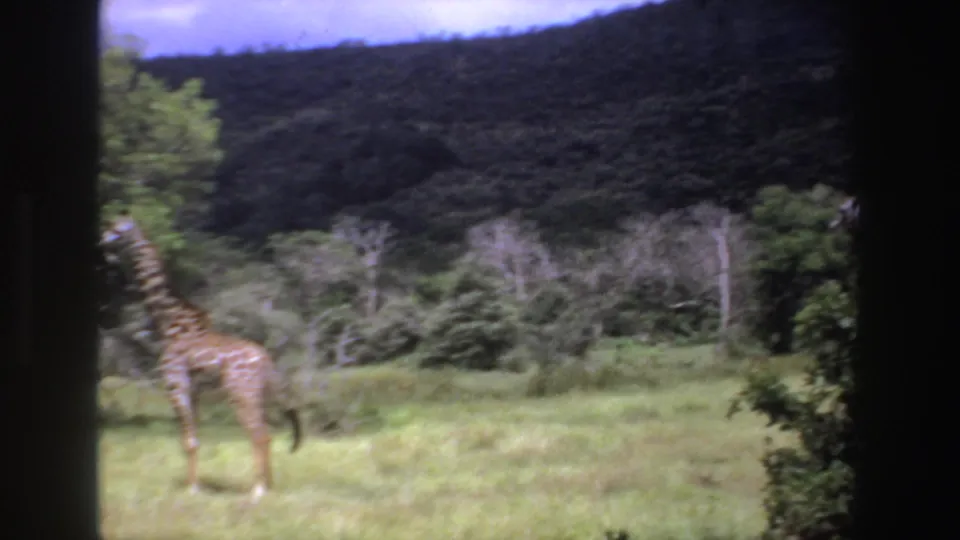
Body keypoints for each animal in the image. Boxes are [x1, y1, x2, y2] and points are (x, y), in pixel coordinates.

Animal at [100, 210, 302, 501]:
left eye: (117, 229)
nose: (102, 243)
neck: (170, 325)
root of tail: (266, 360)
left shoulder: (176, 386)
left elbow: (189, 441)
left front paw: (192, 489)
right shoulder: (194, 392)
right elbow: (195, 440)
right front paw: (195, 485)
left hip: (240, 393)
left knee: (259, 434)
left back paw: (257, 491)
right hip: (259, 394)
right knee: (268, 433)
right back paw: (268, 486)